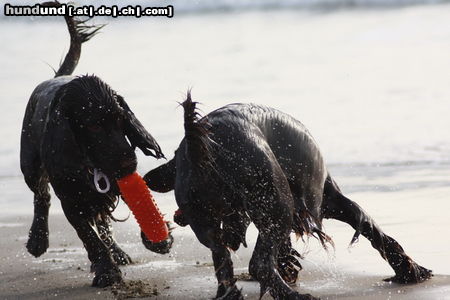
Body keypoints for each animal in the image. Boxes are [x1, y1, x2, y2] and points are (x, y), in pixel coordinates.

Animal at [20, 4, 171, 286]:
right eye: (92, 127)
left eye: (121, 119)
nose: (128, 162)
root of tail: (58, 77)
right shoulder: (71, 199)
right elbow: (88, 236)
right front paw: (106, 270)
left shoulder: (119, 180)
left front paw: (158, 238)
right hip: (30, 166)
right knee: (41, 196)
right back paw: (38, 239)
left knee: (103, 221)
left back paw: (119, 251)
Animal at [144, 94, 432, 300]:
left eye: (172, 156)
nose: (148, 178)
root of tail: (201, 147)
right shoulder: (326, 201)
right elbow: (373, 229)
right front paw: (410, 270)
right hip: (279, 203)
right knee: (259, 264)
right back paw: (295, 296)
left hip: (213, 224)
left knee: (223, 259)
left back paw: (232, 294)